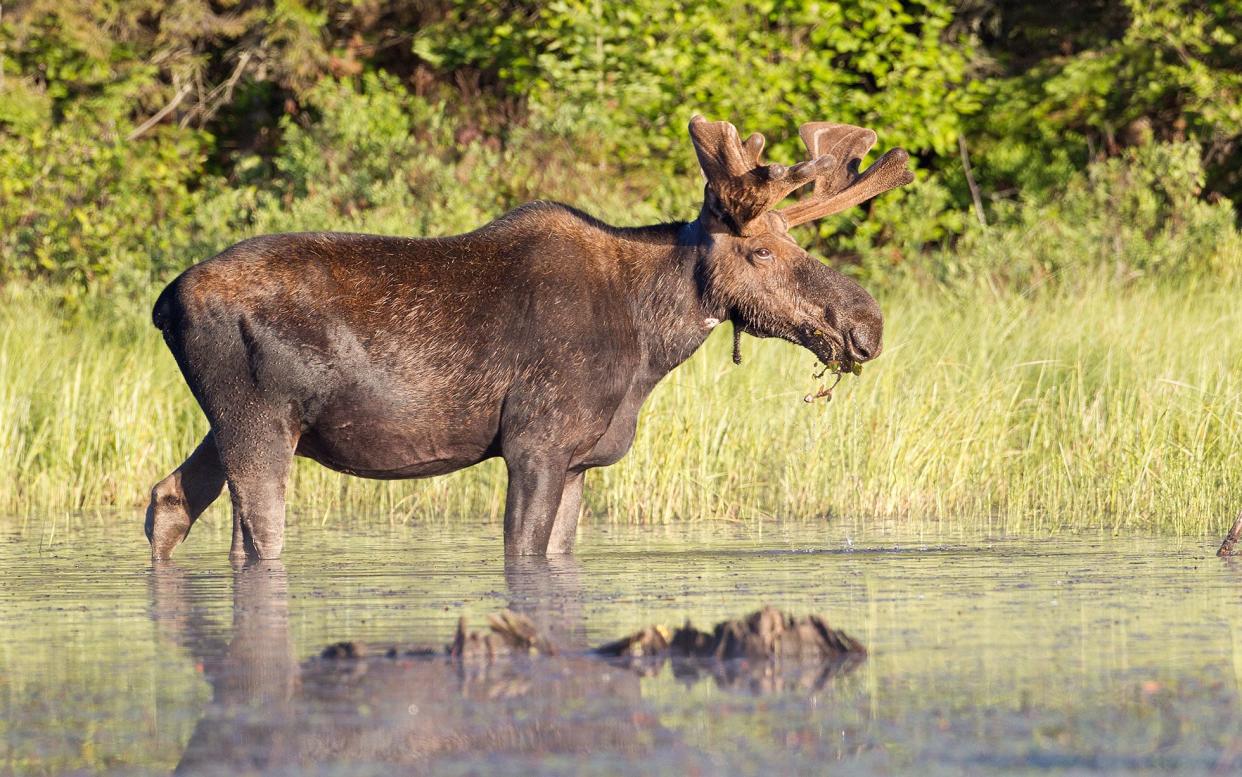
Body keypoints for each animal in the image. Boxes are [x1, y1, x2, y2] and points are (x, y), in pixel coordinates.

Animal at [147, 116, 914, 556]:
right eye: (759, 252)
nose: (866, 324)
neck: (649, 346)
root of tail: (163, 303)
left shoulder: (581, 460)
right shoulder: (535, 443)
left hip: (234, 423)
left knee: (169, 500)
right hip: (259, 420)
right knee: (256, 539)